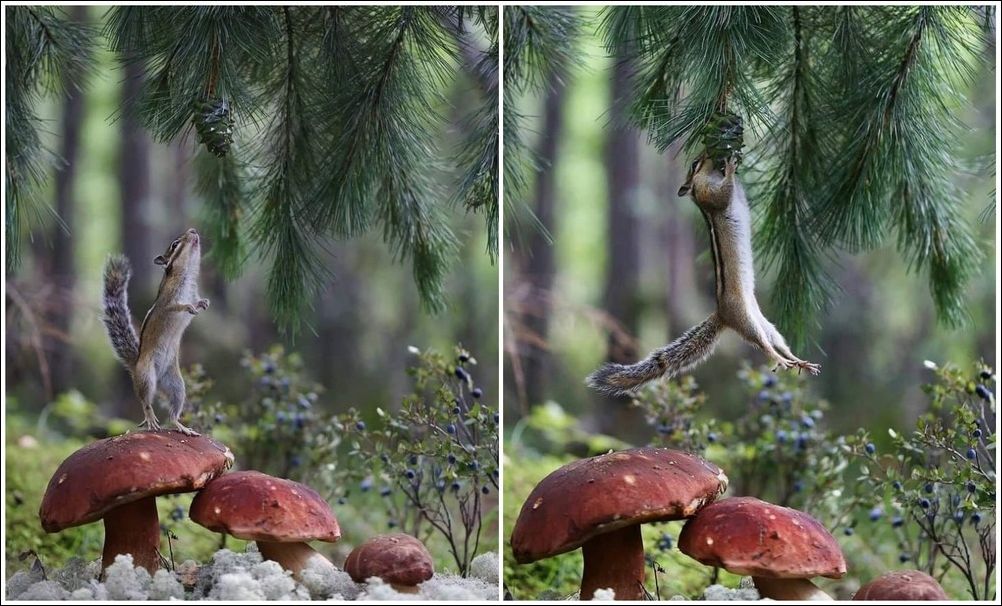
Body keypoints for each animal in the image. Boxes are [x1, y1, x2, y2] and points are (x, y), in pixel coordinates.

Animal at [102, 228, 210, 435]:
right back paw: (150, 418)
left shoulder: (193, 293)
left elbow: (197, 301)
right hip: (146, 376)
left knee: (173, 413)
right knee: (145, 401)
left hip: (176, 385)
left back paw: (182, 426)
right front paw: (187, 307)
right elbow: (176, 307)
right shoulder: (167, 303)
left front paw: (204, 303)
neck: (187, 275)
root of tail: (135, 365)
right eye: (175, 244)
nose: (193, 230)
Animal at [587, 154, 820, 397]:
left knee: (777, 342)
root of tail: (721, 314)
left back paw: (798, 361)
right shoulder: (708, 195)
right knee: (764, 346)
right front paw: (730, 168)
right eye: (694, 164)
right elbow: (723, 195)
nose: (705, 154)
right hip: (747, 321)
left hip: (765, 324)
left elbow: (739, 191)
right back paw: (780, 360)